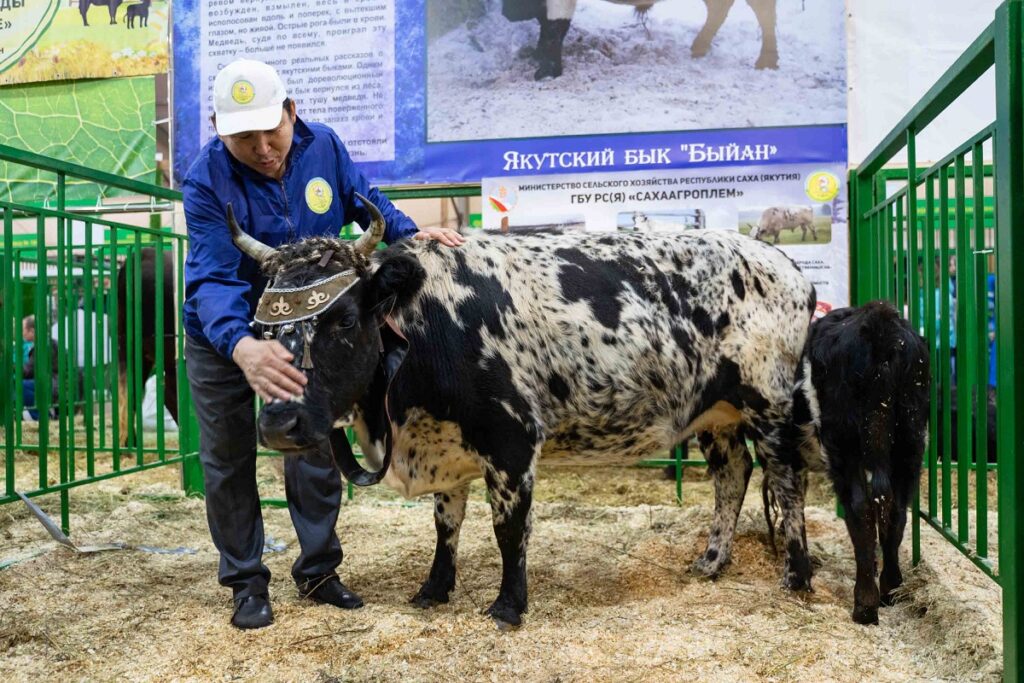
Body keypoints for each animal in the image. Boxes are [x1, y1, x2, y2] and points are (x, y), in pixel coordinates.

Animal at [232, 194, 815, 626]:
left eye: (345, 321)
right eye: (261, 329)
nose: (279, 424)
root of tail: (784, 264)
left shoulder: (511, 441)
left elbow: (508, 528)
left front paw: (508, 605)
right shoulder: (446, 444)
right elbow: (446, 524)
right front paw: (434, 589)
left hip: (770, 404)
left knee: (787, 482)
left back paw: (798, 575)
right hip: (717, 414)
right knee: (733, 475)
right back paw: (712, 561)